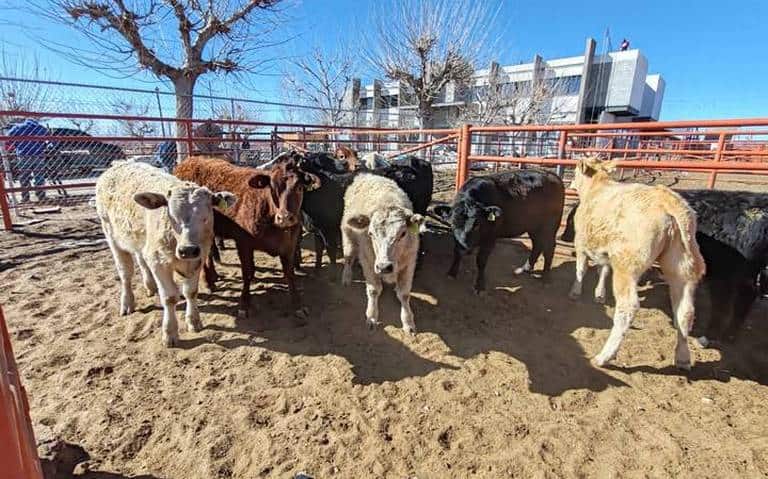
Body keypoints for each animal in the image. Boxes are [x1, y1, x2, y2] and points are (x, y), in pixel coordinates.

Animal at [174, 156, 318, 324]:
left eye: (299, 187)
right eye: (272, 187)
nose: (284, 218)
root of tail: (188, 161)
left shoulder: (289, 245)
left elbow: (289, 273)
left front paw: (297, 305)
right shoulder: (243, 243)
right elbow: (247, 273)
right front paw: (244, 304)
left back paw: (214, 277)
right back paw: (208, 282)